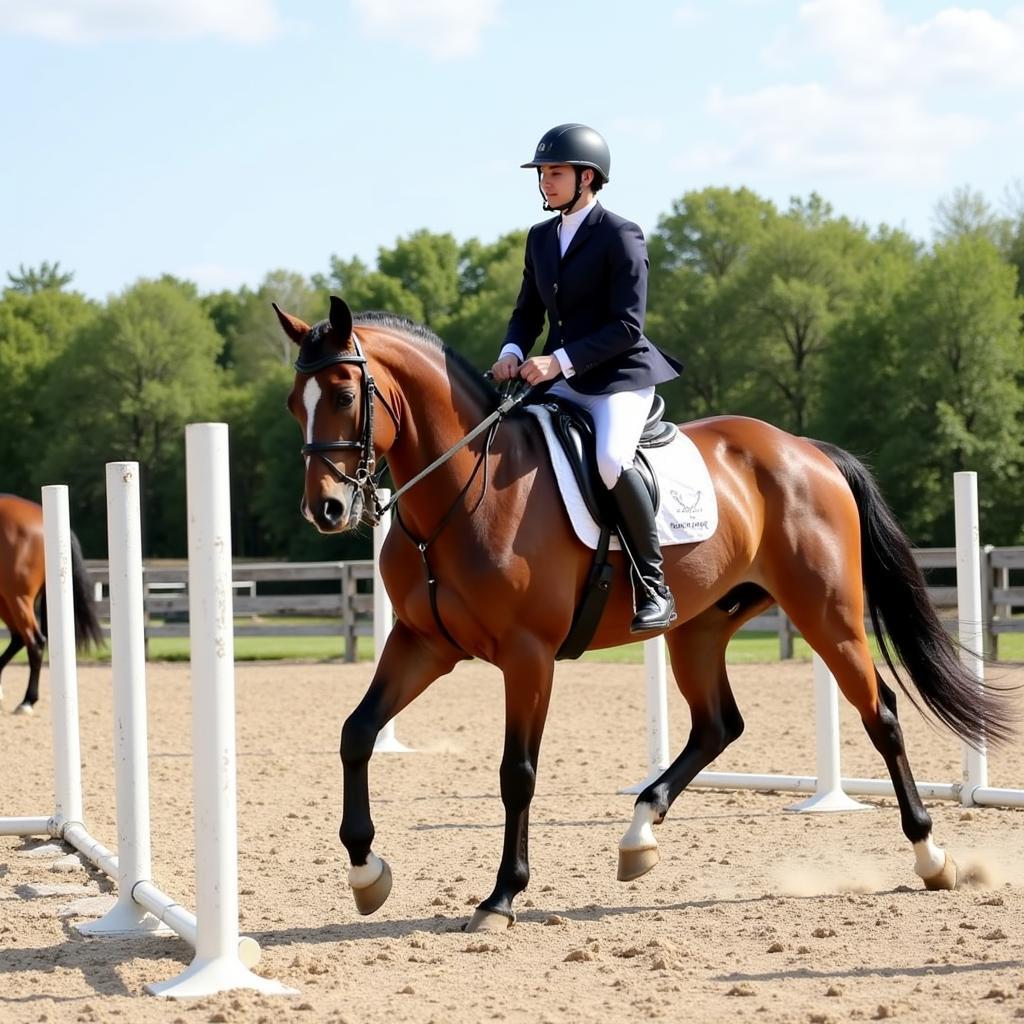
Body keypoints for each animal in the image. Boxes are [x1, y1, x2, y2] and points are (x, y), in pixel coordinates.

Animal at [274, 299, 1015, 937]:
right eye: (292, 404)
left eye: (344, 396)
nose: (326, 510)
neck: (460, 496)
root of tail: (806, 450)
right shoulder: (423, 643)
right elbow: (356, 734)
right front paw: (366, 872)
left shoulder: (527, 655)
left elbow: (518, 773)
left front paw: (502, 895)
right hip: (701, 627)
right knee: (719, 725)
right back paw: (639, 834)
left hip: (826, 613)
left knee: (880, 715)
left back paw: (931, 857)